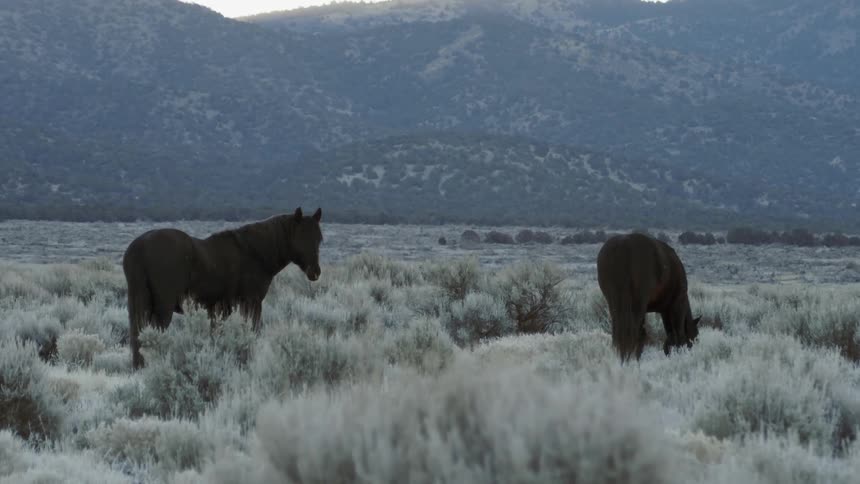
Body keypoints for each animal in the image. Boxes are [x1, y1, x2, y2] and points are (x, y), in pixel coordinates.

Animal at [122, 207, 323, 369]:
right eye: (301, 237)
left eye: (319, 239)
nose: (315, 272)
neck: (255, 253)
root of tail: (138, 248)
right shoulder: (251, 303)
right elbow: (251, 331)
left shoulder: (219, 310)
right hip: (162, 309)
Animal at [596, 232, 700, 363]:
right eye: (695, 338)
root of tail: (622, 246)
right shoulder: (677, 305)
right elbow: (678, 333)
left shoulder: (664, 311)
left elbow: (670, 334)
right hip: (638, 305)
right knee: (637, 333)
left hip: (614, 303)